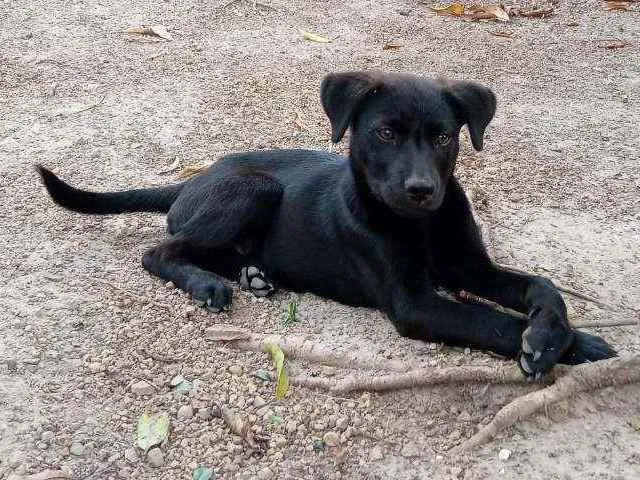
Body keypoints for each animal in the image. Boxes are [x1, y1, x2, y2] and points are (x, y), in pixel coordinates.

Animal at [38, 72, 616, 378]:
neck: (419, 226)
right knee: (160, 251)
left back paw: (253, 274)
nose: (421, 190)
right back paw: (208, 284)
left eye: (444, 137)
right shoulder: (414, 303)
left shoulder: (468, 267)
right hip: (255, 187)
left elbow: (541, 285)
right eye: (385, 133)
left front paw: (551, 331)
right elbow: (490, 321)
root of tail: (193, 180)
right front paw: (569, 344)